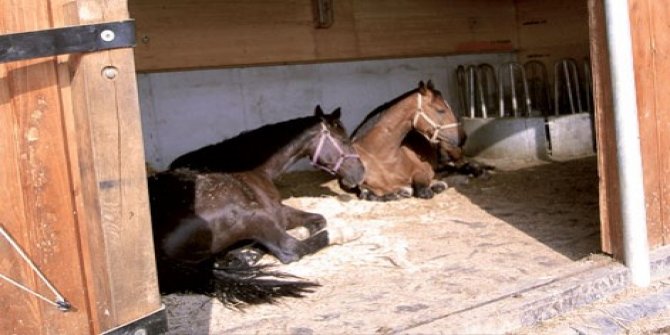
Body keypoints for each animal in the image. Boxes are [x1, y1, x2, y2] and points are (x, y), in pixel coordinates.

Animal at [151, 106, 368, 306]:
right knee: (291, 248)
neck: (252, 170)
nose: (360, 174)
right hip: (253, 216)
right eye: (344, 141)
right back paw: (346, 232)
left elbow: (317, 220)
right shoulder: (272, 213)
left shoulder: (280, 211)